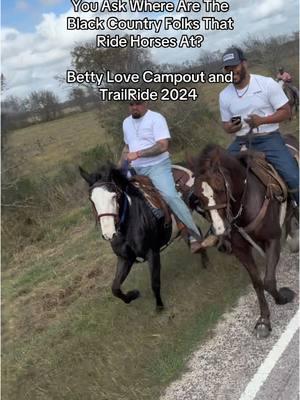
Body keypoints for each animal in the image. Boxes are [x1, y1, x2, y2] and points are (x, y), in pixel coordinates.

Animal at [78, 164, 207, 310]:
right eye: (92, 200)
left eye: (114, 196)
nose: (108, 233)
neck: (128, 225)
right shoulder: (125, 259)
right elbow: (115, 288)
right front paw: (133, 294)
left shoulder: (152, 252)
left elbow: (155, 282)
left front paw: (159, 307)